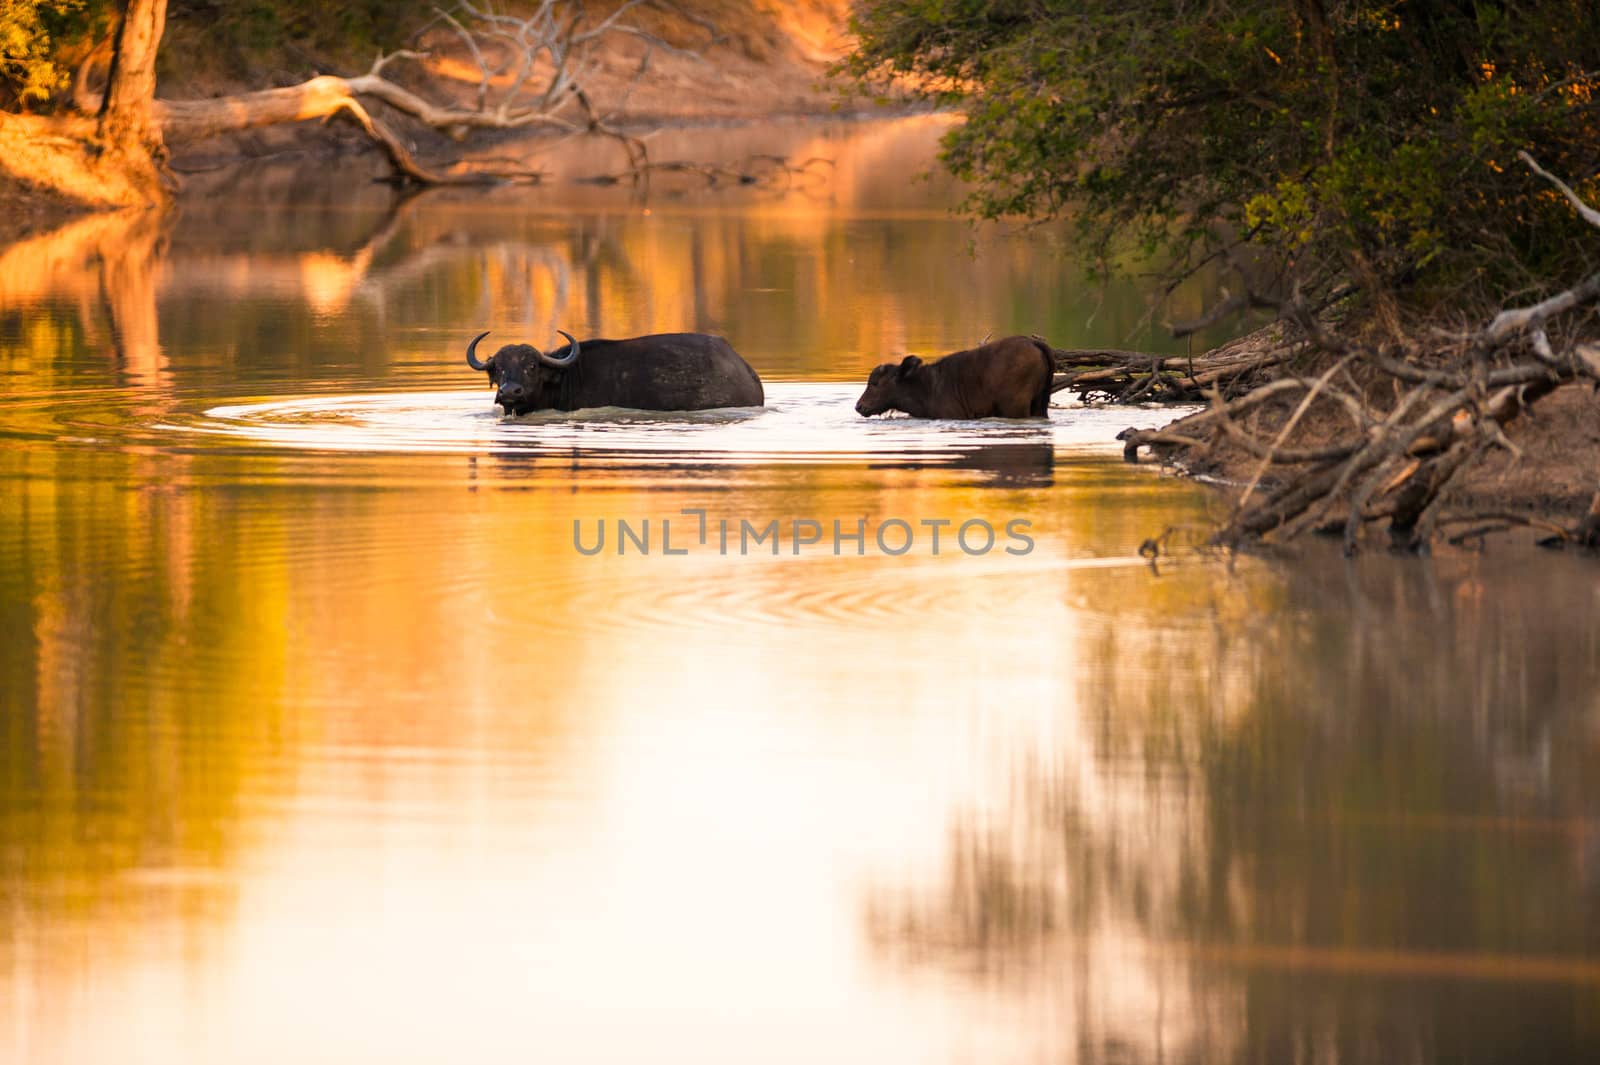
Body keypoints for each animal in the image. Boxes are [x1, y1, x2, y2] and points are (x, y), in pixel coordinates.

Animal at [857, 334, 1056, 415]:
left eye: (875, 383)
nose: (859, 406)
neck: (926, 388)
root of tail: (1034, 343)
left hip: (1015, 406)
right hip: (1040, 404)